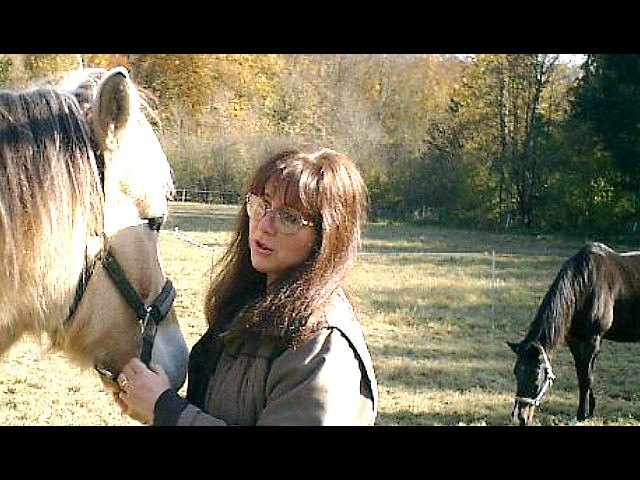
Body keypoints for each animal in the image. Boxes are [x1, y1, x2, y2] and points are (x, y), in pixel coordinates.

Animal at [510, 242, 640, 426]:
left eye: (536, 376)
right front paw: (587, 412)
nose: (518, 418)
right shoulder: (574, 341)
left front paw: (580, 417)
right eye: (516, 373)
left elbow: (587, 378)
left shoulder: (593, 340)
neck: (585, 286)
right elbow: (583, 376)